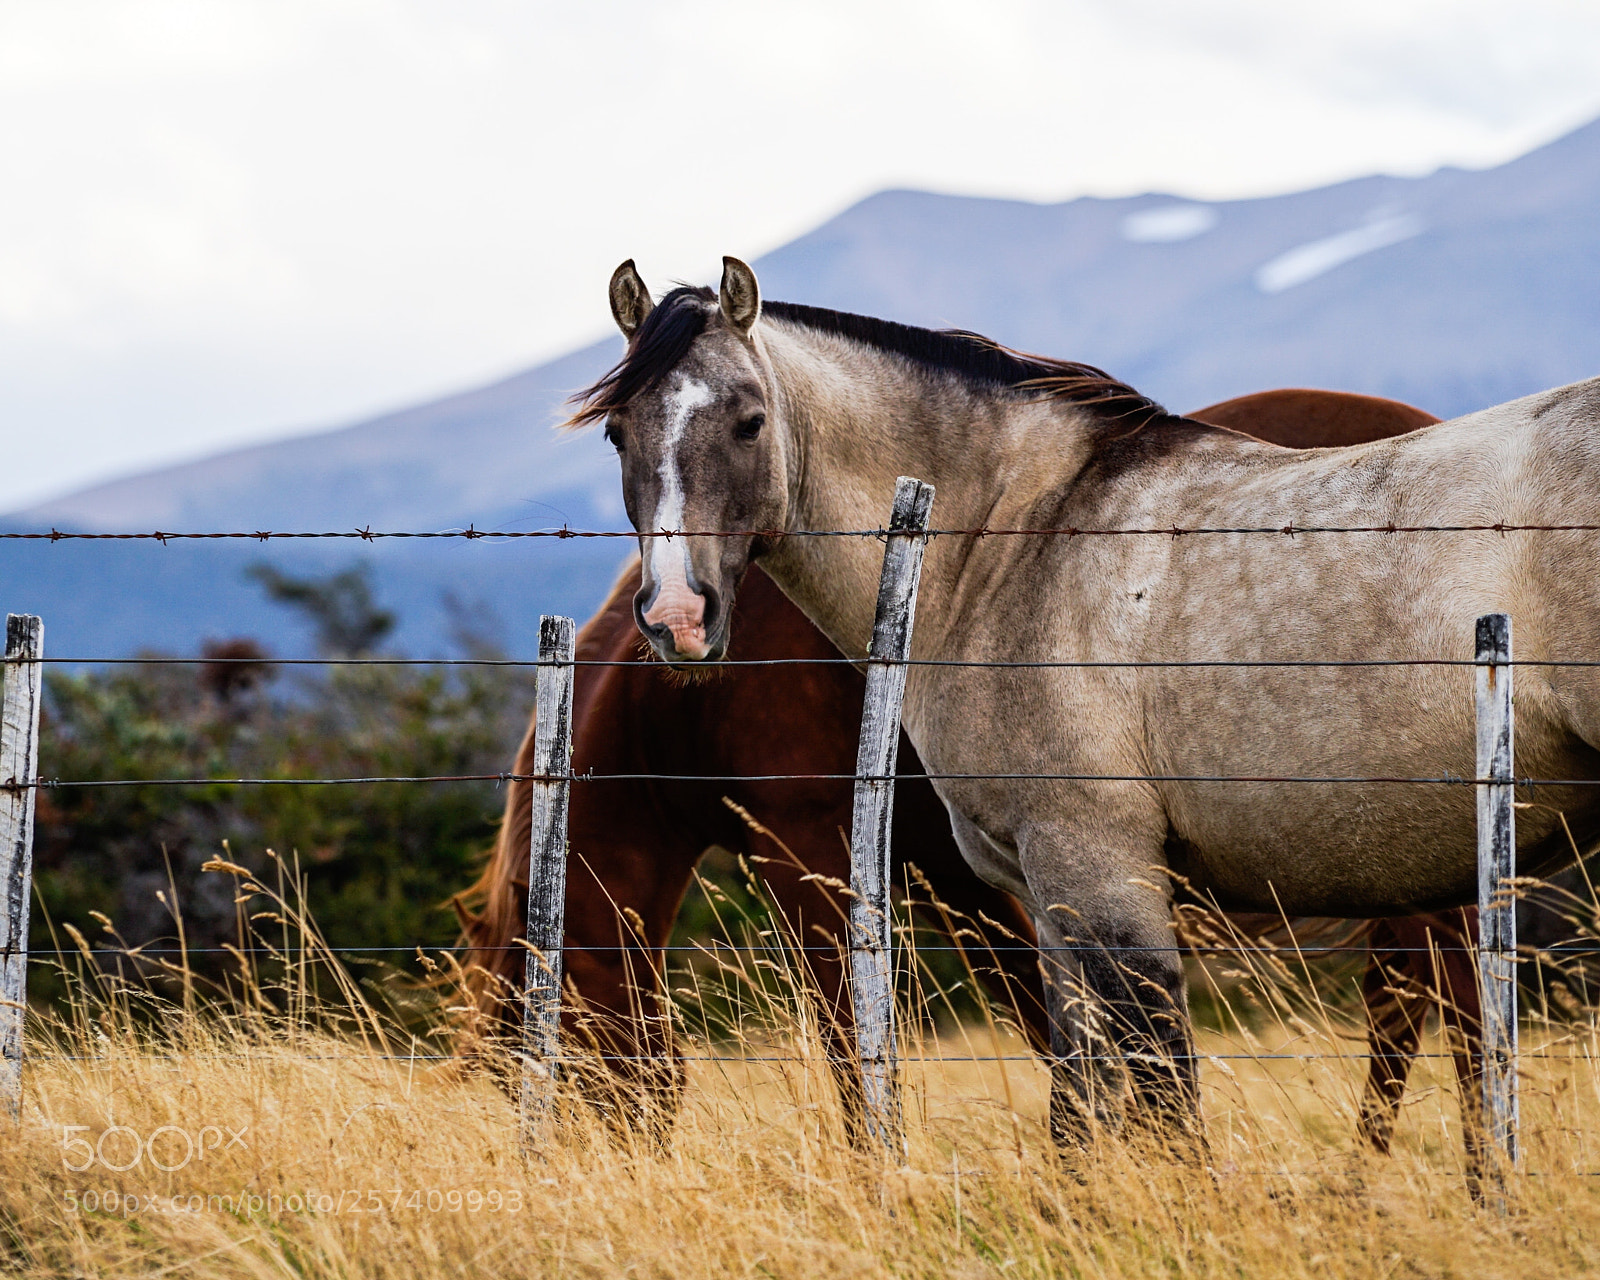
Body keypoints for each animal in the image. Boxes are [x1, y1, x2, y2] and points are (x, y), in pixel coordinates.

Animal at [460, 378, 1479, 1157]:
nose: (613, 1173)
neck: (692, 700)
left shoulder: (811, 856)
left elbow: (854, 1040)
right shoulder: (964, 872)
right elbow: (1047, 1023)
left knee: (1442, 1005)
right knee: (1414, 1001)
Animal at [576, 255, 1600, 1151]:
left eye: (749, 423)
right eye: (619, 434)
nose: (677, 616)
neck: (1010, 543)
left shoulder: (1098, 876)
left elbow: (1162, 1098)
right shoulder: (1043, 898)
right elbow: (1078, 1102)